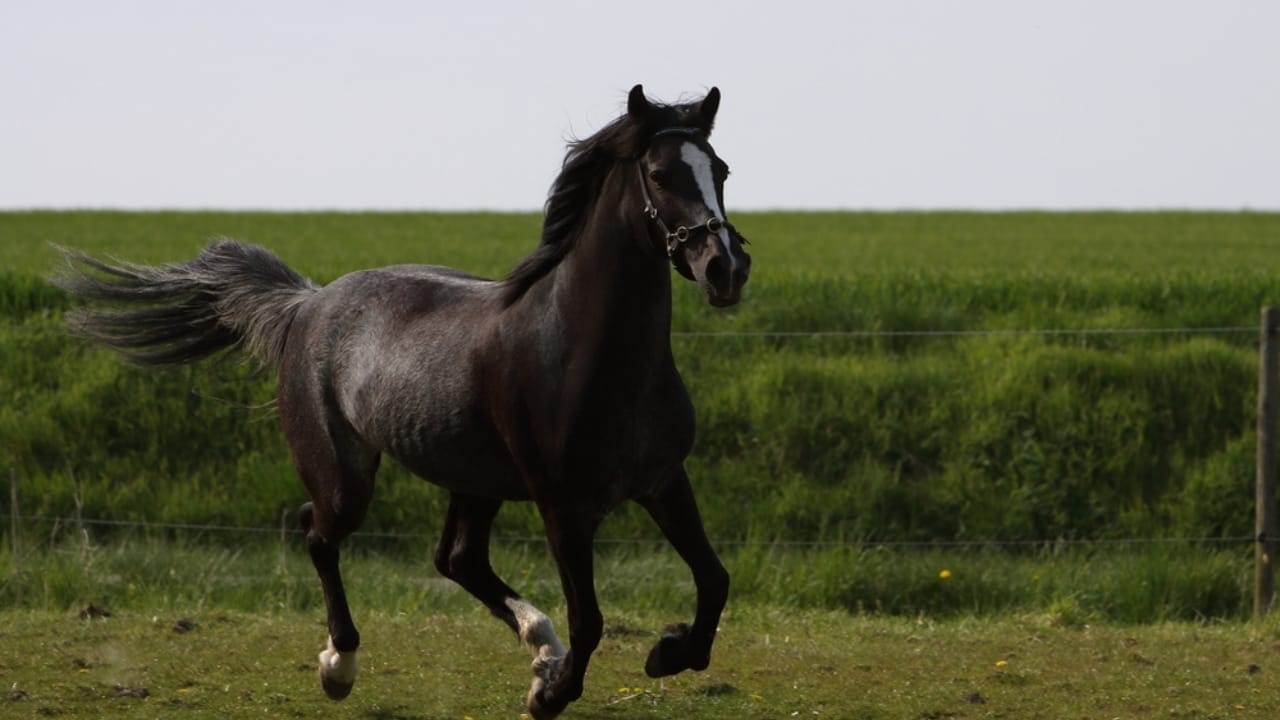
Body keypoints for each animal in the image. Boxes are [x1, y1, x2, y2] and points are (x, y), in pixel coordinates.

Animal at [52, 84, 751, 719]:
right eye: (659, 174)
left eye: (719, 169)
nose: (725, 268)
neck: (588, 354)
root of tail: (309, 303)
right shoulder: (564, 506)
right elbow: (592, 618)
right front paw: (553, 694)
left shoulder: (662, 479)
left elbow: (714, 578)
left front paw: (667, 652)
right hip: (347, 478)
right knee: (318, 533)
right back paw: (341, 665)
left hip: (475, 478)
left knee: (457, 559)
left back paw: (539, 647)